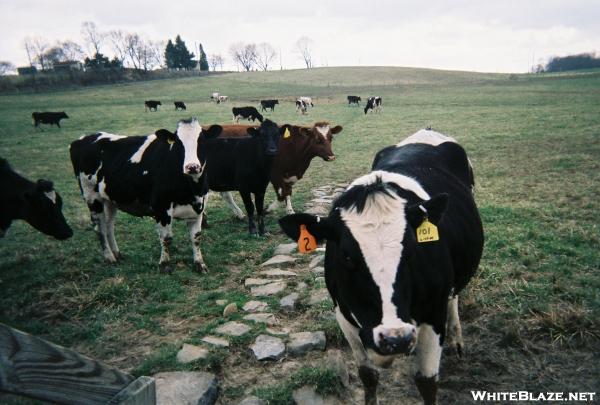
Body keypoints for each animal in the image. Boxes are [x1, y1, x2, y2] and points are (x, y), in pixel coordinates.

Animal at [68, 118, 223, 274]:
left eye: (201, 141)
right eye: (178, 143)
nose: (192, 167)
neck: (192, 190)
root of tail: (82, 139)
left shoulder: (199, 208)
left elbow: (196, 238)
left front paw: (200, 264)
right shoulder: (161, 208)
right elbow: (166, 238)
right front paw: (164, 265)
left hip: (109, 199)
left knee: (109, 225)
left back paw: (117, 254)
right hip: (92, 197)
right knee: (99, 227)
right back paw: (109, 257)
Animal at [209, 120, 342, 215]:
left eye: (331, 137)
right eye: (317, 139)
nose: (331, 156)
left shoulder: (289, 175)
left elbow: (288, 192)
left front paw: (290, 211)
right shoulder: (275, 174)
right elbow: (281, 194)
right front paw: (268, 209)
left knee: (225, 194)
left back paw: (238, 214)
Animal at [278, 129, 482, 404]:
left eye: (411, 249)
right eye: (346, 256)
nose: (396, 338)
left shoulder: (432, 315)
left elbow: (427, 383)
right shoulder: (344, 316)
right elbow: (368, 376)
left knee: (453, 297)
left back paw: (457, 340)